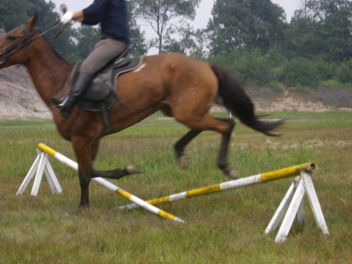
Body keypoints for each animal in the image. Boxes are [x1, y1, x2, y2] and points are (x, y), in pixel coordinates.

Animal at [0, 15, 284, 211]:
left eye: (12, 37)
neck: (61, 84)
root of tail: (205, 64)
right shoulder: (93, 139)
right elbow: (92, 171)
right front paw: (126, 170)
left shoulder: (81, 139)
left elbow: (84, 175)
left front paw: (82, 208)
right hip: (182, 110)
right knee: (206, 126)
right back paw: (180, 152)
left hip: (187, 111)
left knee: (226, 125)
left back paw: (225, 167)